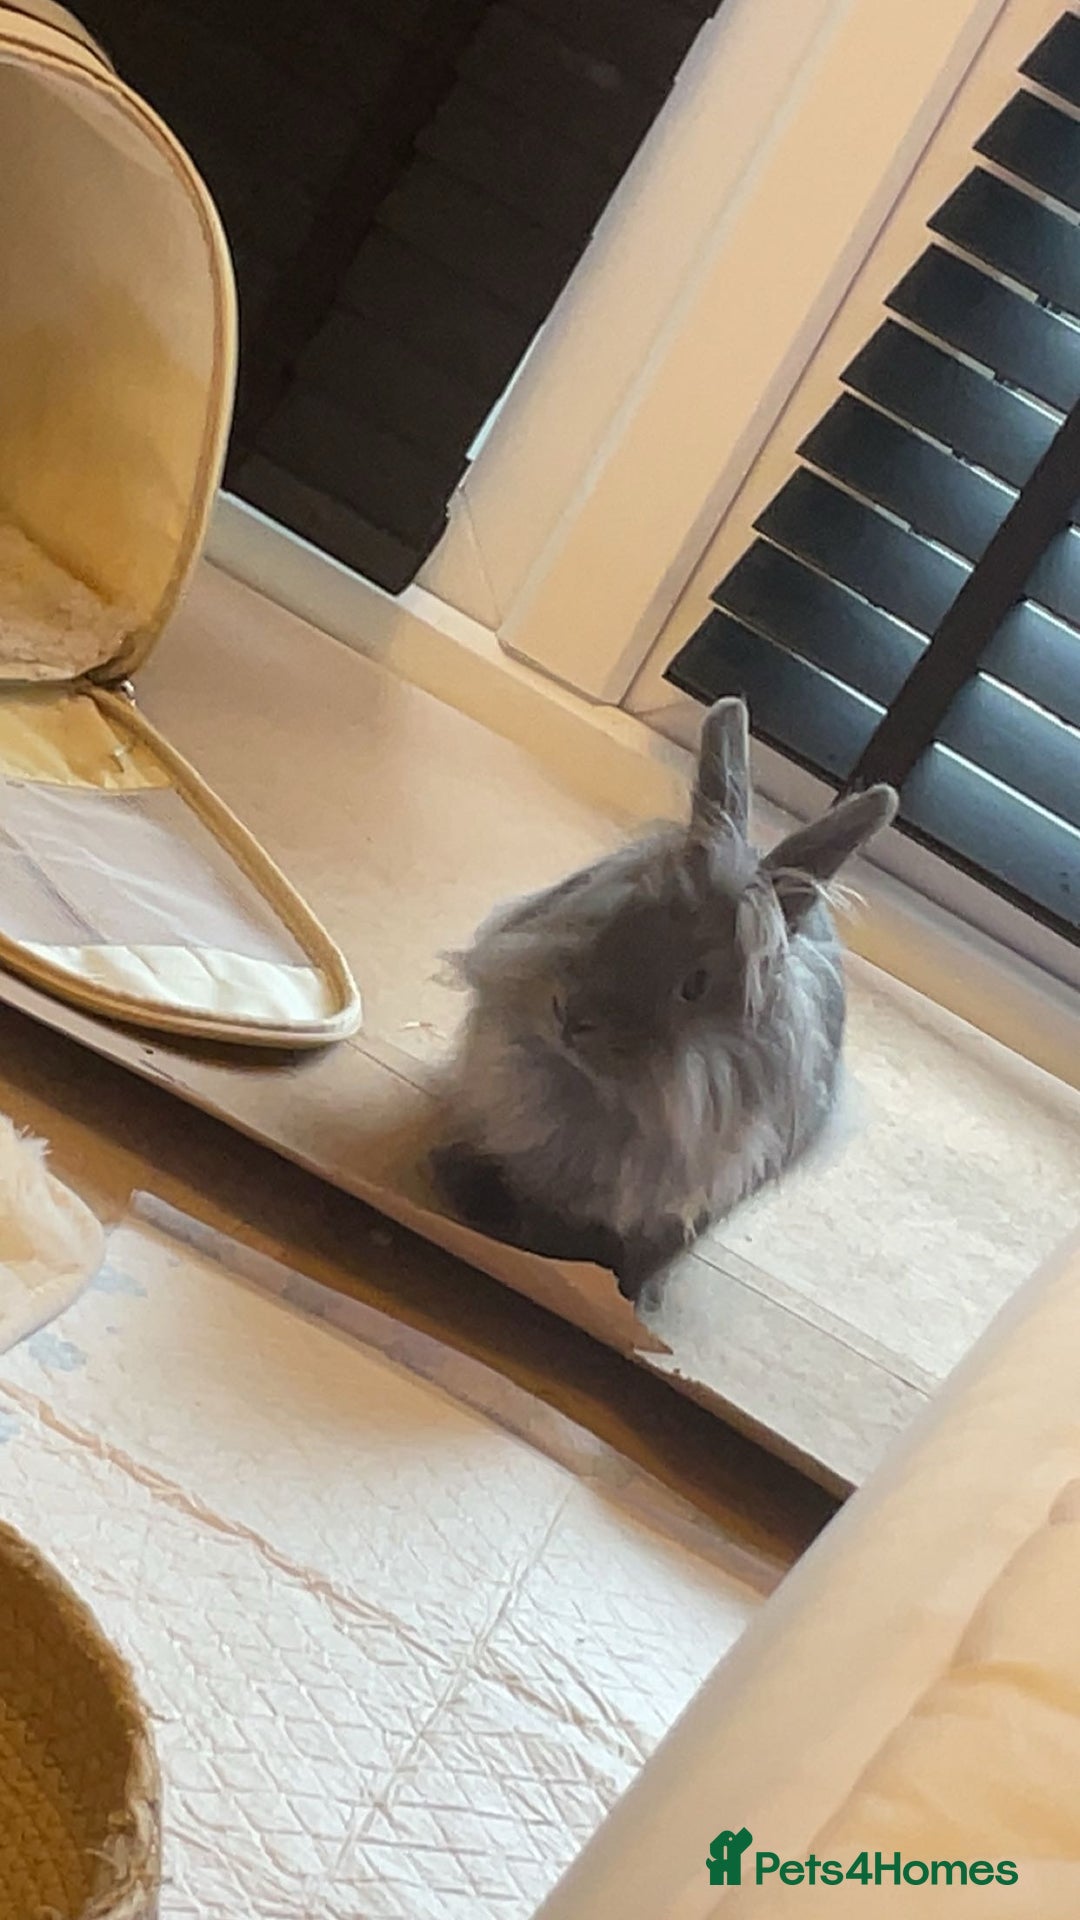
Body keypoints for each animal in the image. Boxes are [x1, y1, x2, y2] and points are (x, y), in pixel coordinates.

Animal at [431, 698, 897, 1303]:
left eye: (695, 984)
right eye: (622, 910)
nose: (570, 1017)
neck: (601, 1099)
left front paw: (625, 1293)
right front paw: (464, 1187)